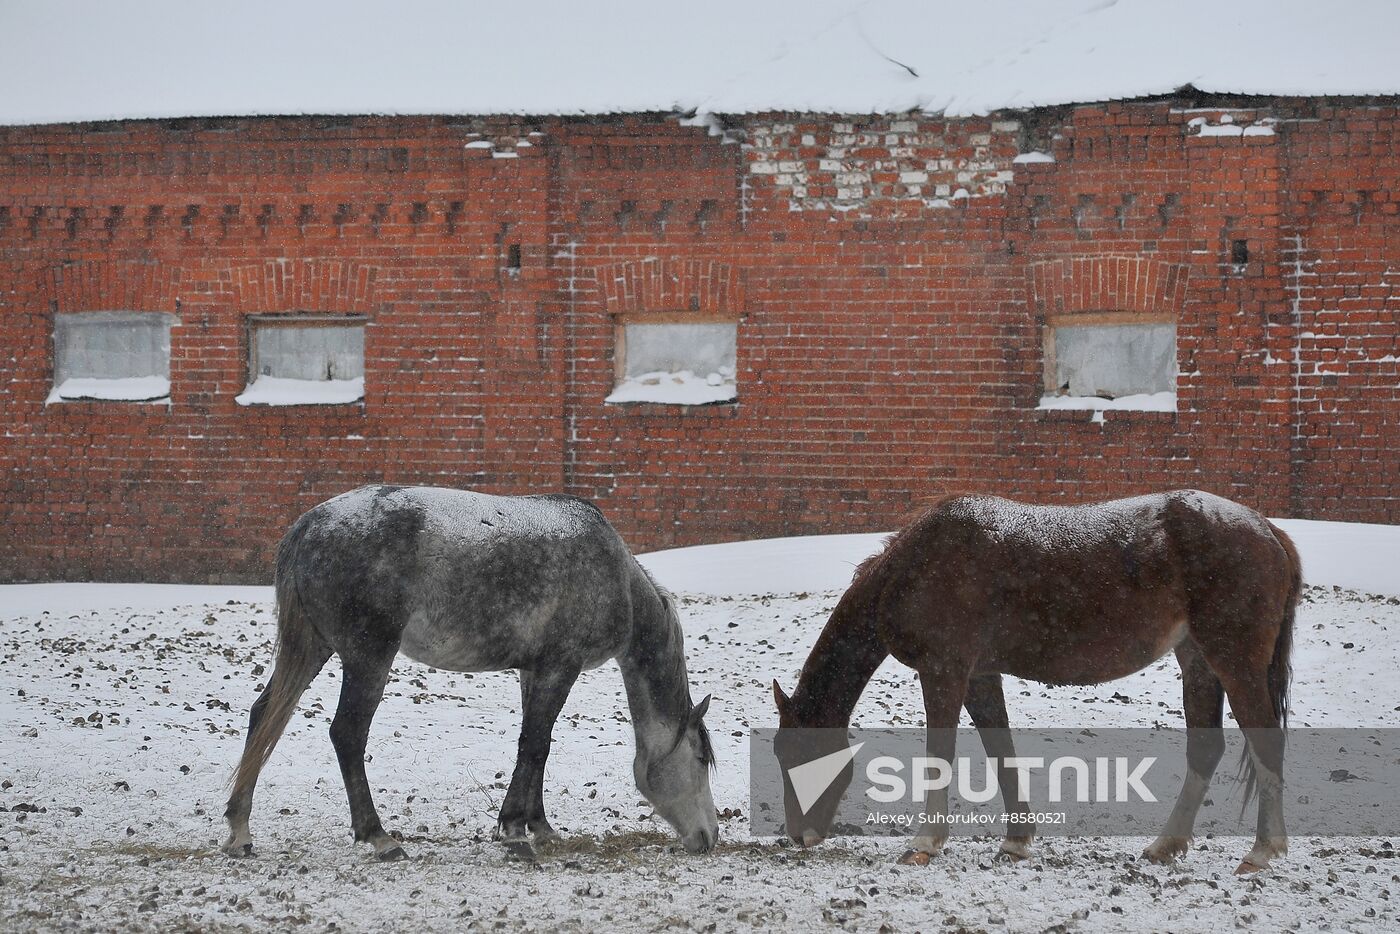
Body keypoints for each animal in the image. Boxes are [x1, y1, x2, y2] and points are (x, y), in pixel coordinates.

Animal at [225, 490, 722, 862]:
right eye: (700, 758)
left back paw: (239, 830)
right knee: (347, 733)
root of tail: (308, 526)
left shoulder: (534, 671)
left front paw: (539, 826)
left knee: (263, 714)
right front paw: (516, 831)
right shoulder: (560, 667)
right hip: (368, 657)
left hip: (312, 647)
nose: (710, 837)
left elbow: (537, 748)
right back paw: (381, 838)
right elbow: (535, 745)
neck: (615, 578)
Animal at [772, 492, 1293, 873]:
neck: (921, 563)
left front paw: (924, 843)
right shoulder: (979, 675)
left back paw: (1261, 852)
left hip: (1233, 659)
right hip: (1199, 661)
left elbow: (940, 753)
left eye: (794, 753)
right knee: (1205, 749)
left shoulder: (944, 670)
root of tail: (1266, 529)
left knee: (1265, 742)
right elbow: (1000, 749)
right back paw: (1166, 845)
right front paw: (1016, 842)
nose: (798, 835)